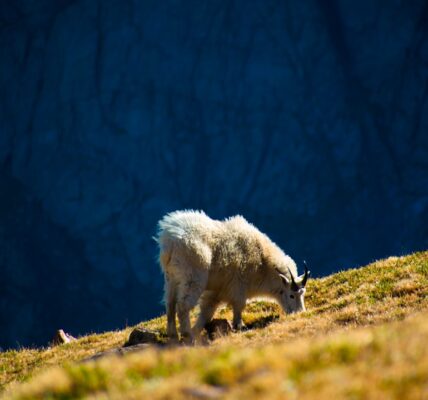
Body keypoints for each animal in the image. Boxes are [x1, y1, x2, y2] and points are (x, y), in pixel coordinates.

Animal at [155, 211, 310, 342]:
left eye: (303, 294)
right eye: (291, 295)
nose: (300, 313)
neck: (263, 262)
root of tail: (170, 241)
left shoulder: (217, 291)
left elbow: (207, 311)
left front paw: (197, 329)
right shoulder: (238, 285)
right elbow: (239, 305)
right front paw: (240, 325)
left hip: (171, 278)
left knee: (170, 303)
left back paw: (174, 335)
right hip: (192, 277)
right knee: (183, 306)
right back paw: (187, 335)